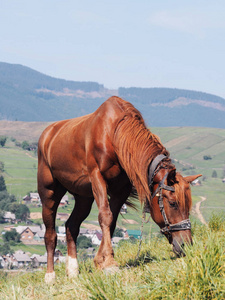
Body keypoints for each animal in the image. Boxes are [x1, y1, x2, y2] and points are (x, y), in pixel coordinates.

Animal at [37, 96, 201, 284]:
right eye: (173, 203)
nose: (186, 245)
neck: (114, 134)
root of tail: (47, 134)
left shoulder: (121, 189)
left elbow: (112, 221)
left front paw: (101, 260)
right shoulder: (97, 178)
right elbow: (105, 216)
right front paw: (109, 262)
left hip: (83, 197)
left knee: (72, 226)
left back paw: (72, 270)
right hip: (49, 193)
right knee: (50, 233)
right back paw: (50, 275)